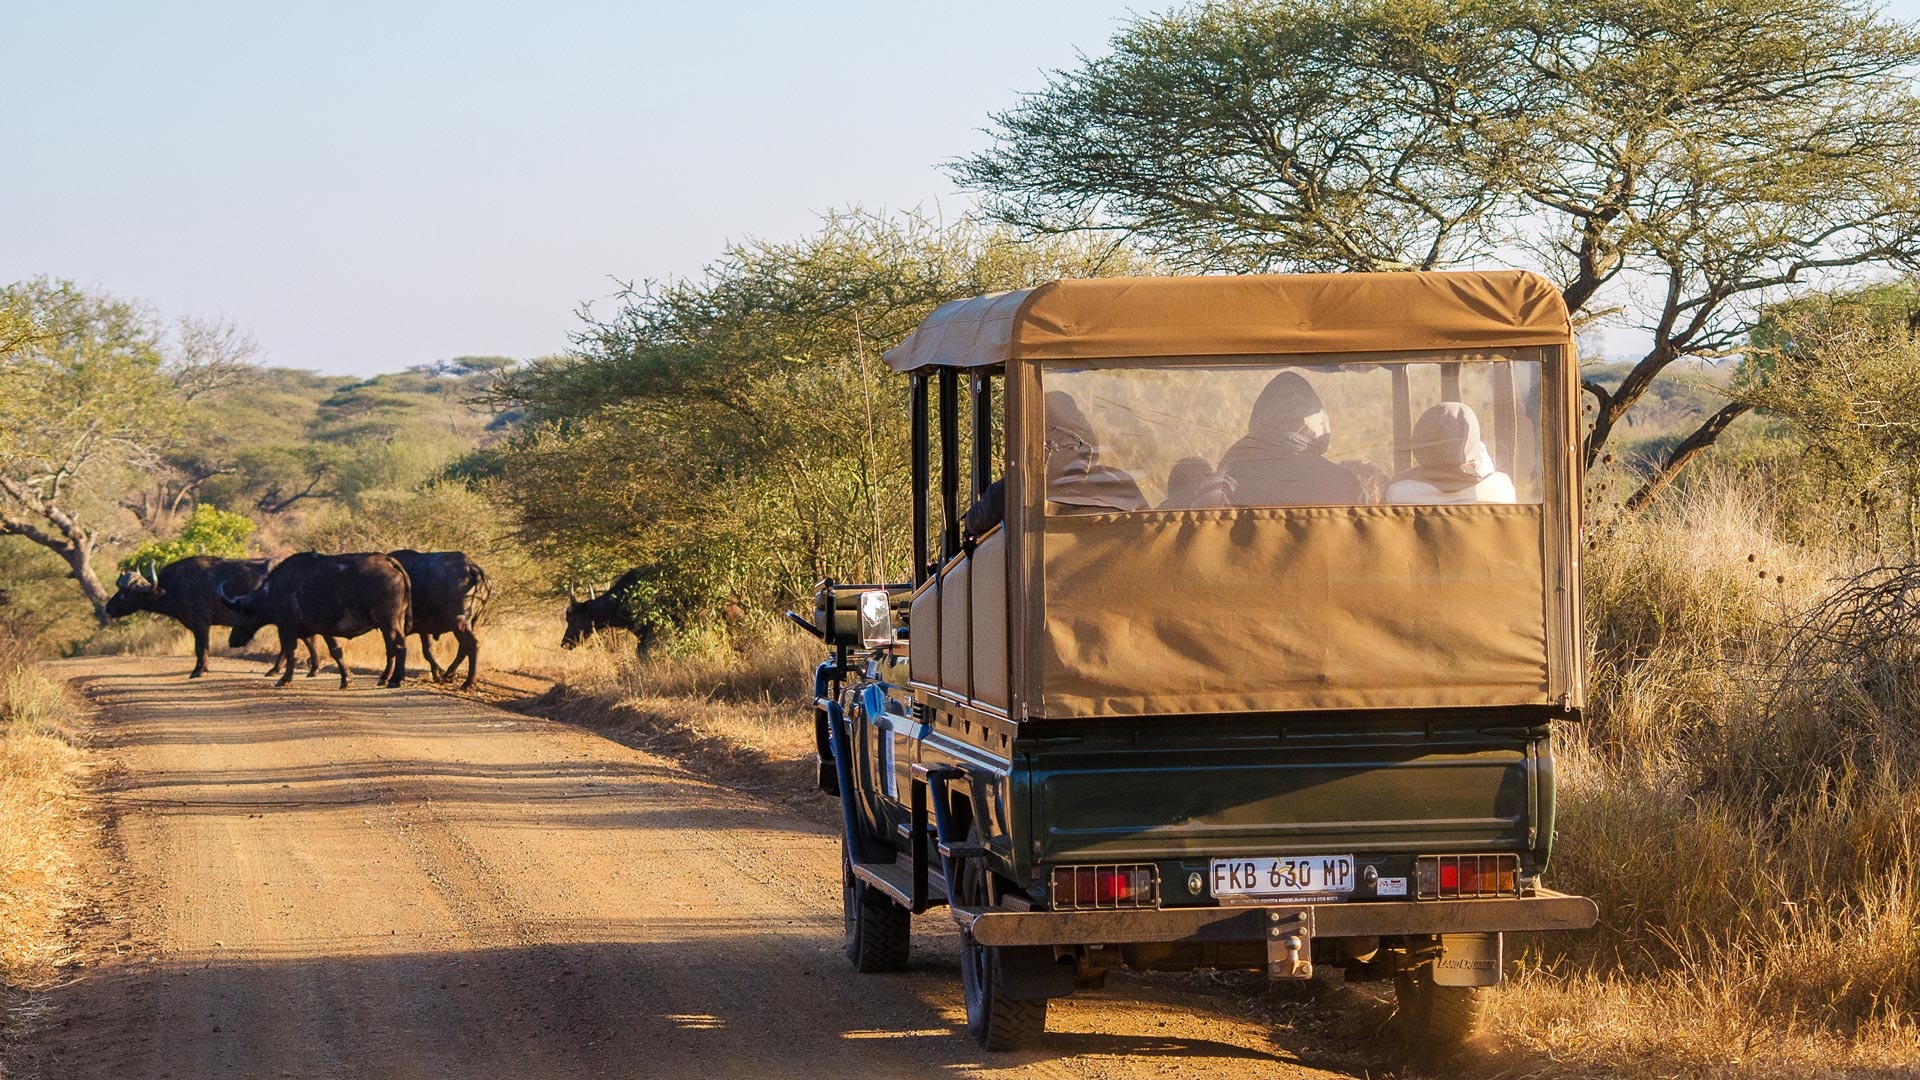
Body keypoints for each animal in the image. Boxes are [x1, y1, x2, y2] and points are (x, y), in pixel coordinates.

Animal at [104, 557, 322, 676]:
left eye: (125, 593)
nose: (107, 608)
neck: (175, 586)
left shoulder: (201, 624)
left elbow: (201, 648)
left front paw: (199, 671)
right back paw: (305, 669)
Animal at [219, 549, 410, 684]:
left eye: (240, 614)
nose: (232, 640)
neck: (275, 589)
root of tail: (388, 561)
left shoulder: (287, 628)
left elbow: (290, 651)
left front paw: (284, 678)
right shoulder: (318, 629)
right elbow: (333, 650)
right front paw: (345, 679)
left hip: (389, 623)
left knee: (399, 646)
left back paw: (395, 680)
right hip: (389, 625)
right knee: (391, 649)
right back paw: (384, 678)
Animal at [387, 545, 491, 687]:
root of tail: (472, 568)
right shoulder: (424, 628)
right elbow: (428, 650)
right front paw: (437, 674)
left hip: (458, 623)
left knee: (473, 644)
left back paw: (468, 683)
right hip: (473, 622)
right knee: (464, 646)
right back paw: (450, 674)